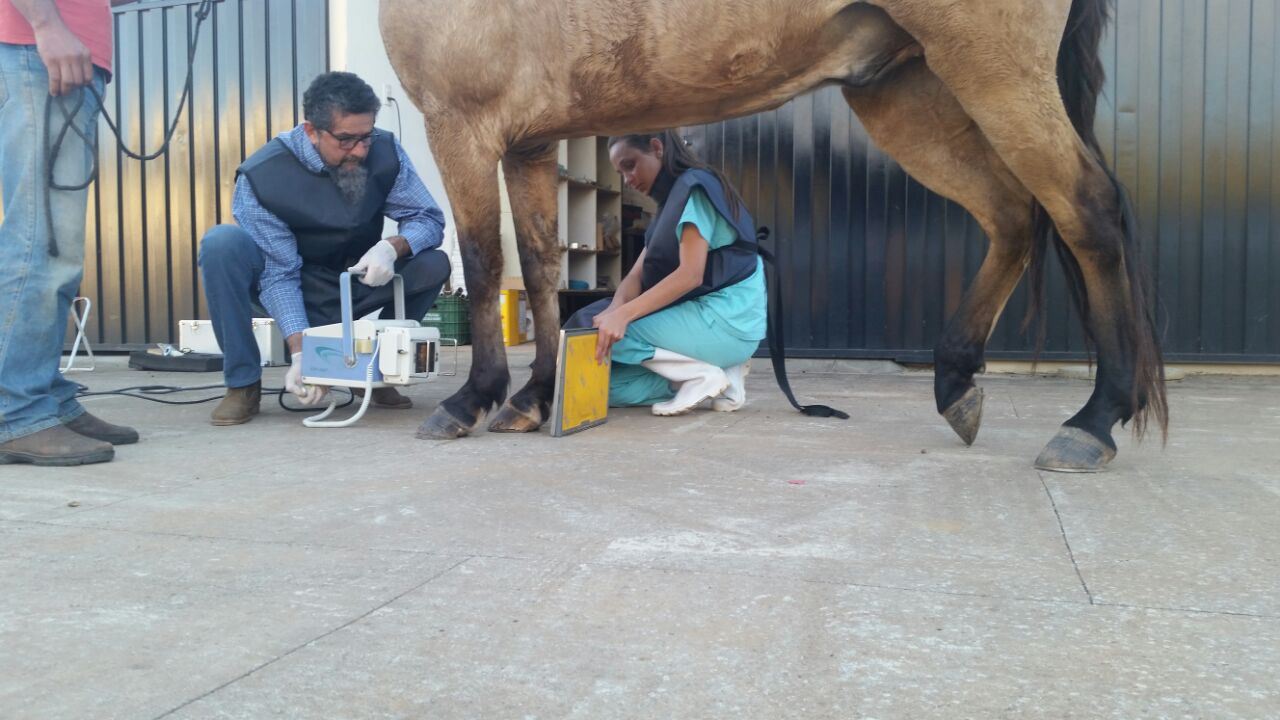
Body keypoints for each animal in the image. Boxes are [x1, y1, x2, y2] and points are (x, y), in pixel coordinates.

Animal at [378, 0, 1172, 471]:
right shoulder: (530, 142)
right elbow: (539, 266)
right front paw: (536, 396)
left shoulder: (460, 122)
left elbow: (484, 261)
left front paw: (470, 401)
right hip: (905, 88)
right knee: (1010, 214)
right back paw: (957, 385)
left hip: (990, 65)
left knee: (1086, 210)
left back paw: (1093, 421)